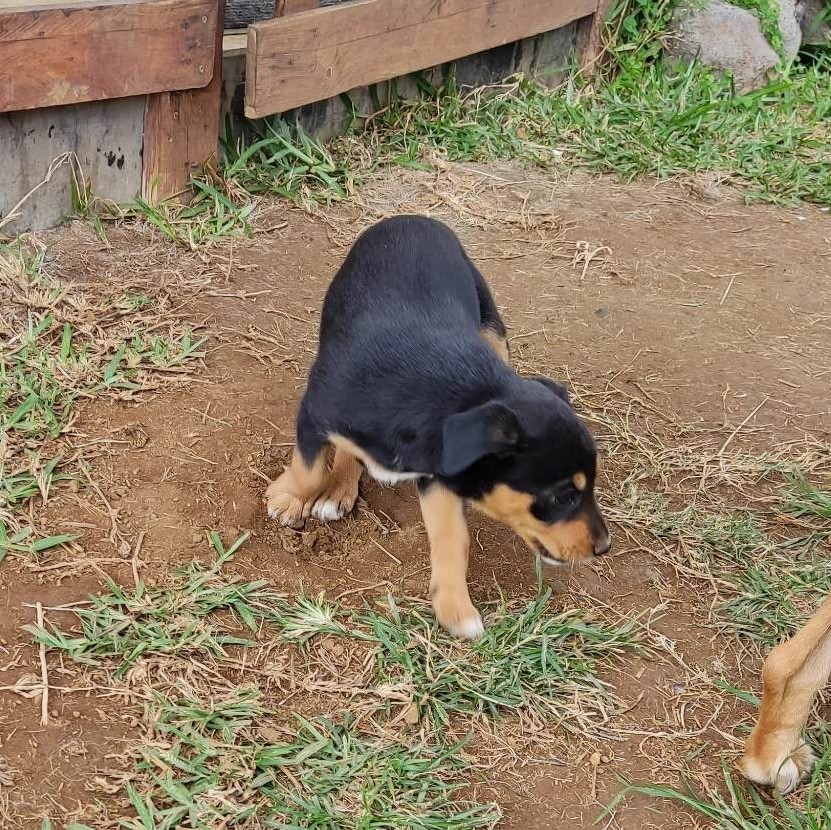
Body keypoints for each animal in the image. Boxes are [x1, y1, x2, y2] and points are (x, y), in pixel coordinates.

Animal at [266, 213, 612, 636]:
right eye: (563, 496)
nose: (604, 547)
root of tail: (414, 217)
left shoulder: (439, 475)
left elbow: (452, 539)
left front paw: (455, 608)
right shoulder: (314, 412)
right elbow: (309, 470)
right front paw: (286, 497)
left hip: (492, 329)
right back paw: (337, 488)